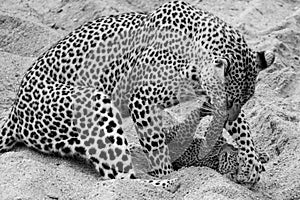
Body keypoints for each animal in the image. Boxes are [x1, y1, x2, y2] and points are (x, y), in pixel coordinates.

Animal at [0, 0, 274, 192]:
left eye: (244, 101)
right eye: (228, 101)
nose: (226, 116)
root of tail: (14, 113)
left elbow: (242, 127)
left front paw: (251, 163)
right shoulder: (142, 100)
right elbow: (156, 148)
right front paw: (167, 173)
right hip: (94, 104)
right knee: (118, 178)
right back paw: (170, 184)